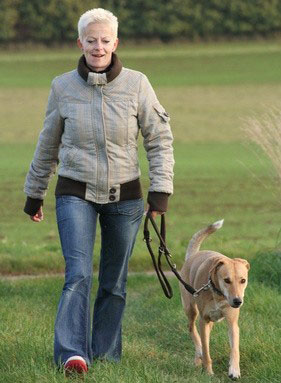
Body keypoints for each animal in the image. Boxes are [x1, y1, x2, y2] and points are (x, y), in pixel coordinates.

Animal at [178, 220, 248, 380]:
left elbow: (235, 348)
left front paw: (234, 370)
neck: (219, 295)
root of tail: (193, 255)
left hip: (210, 321)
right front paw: (208, 372)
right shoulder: (203, 320)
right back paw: (199, 353)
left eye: (243, 280)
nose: (237, 301)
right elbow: (206, 351)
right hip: (191, 309)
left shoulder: (232, 322)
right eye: (226, 280)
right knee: (192, 329)